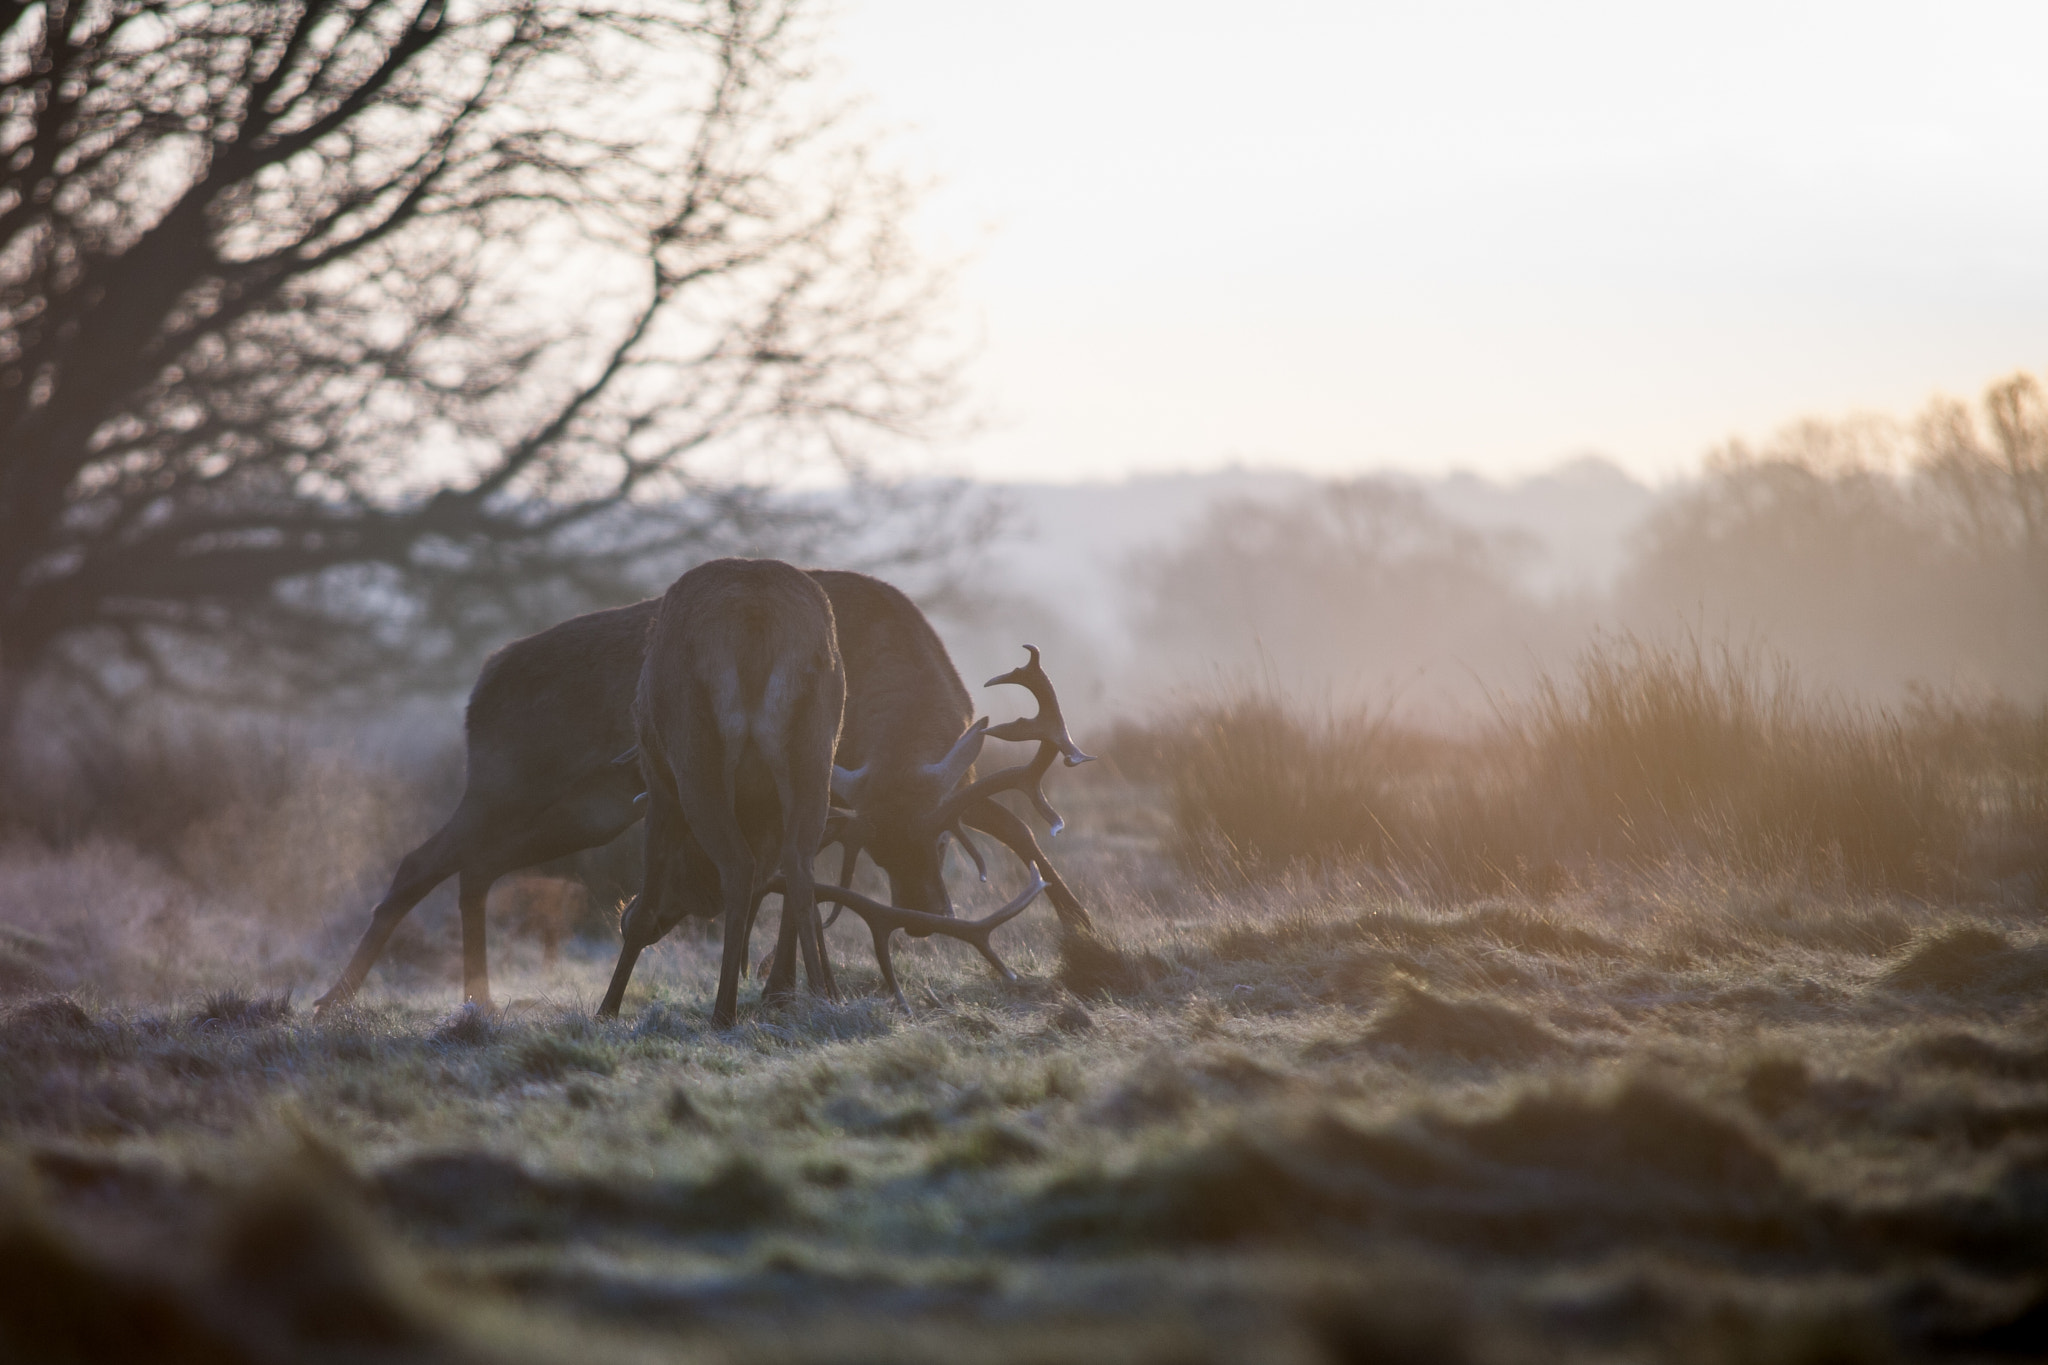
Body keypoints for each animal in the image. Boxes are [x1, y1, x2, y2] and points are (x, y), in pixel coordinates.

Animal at [305, 568, 1097, 1015]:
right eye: (879, 846)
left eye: (934, 837)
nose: (927, 916)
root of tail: (475, 695)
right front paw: (780, 986)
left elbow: (1018, 828)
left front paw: (1082, 925)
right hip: (506, 782)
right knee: (421, 861)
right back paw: (334, 998)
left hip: (579, 812)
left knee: (476, 867)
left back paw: (475, 996)